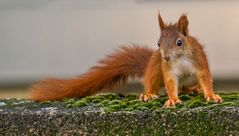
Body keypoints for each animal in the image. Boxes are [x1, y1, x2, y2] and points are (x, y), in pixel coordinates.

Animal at [29, 12, 222, 107]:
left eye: (179, 42)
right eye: (158, 43)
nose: (166, 57)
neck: (180, 59)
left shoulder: (199, 62)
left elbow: (205, 78)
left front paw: (211, 95)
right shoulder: (168, 70)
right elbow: (170, 83)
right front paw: (173, 99)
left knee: (187, 87)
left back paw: (195, 89)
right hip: (155, 67)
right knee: (154, 82)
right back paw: (148, 94)